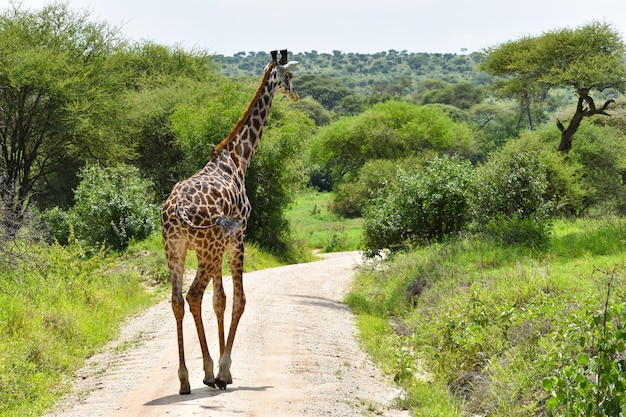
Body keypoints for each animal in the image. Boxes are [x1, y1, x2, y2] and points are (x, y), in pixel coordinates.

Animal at [161, 50, 298, 392]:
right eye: (289, 76)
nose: (296, 95)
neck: (239, 157)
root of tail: (176, 210)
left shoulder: (217, 245)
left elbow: (219, 300)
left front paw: (224, 371)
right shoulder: (239, 236)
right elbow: (239, 299)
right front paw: (224, 371)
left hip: (176, 249)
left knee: (178, 300)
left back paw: (185, 379)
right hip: (206, 248)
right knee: (193, 295)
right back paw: (209, 373)